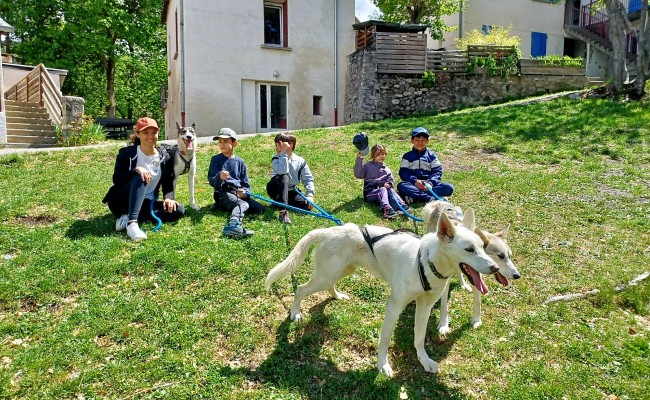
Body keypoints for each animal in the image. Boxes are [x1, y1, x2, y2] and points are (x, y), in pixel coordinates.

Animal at [266, 209, 498, 376]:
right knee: (300, 289)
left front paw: (424, 360)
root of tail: (330, 231)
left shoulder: (424, 306)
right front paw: (382, 365)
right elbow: (384, 339)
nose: (495, 268)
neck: (425, 261)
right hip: (326, 276)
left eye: (483, 246)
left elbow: (419, 337)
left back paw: (336, 296)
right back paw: (295, 313)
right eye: (469, 249)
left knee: (328, 286)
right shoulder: (394, 306)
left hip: (341, 272)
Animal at [420, 200, 520, 334]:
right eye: (500, 256)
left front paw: (476, 320)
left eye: (509, 256)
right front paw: (443, 325)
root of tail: (439, 203)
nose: (517, 275)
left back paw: (464, 284)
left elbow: (477, 301)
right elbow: (444, 305)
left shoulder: (478, 277)